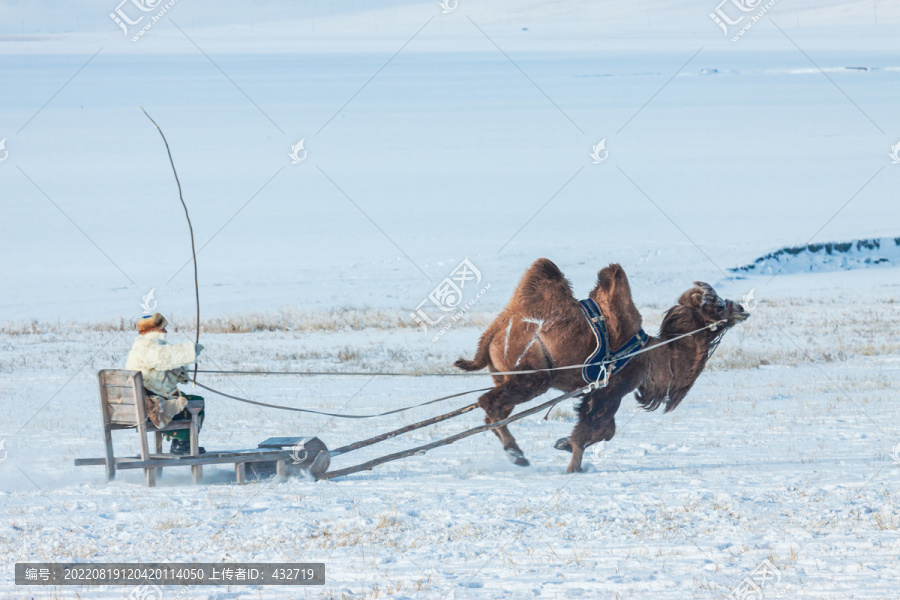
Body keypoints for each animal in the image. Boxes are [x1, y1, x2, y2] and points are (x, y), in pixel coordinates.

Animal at [454, 258, 748, 474]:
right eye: (718, 305)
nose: (742, 308)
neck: (651, 355)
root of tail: (496, 329)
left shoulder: (598, 392)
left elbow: (604, 430)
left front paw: (562, 444)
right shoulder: (611, 390)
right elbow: (594, 428)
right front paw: (574, 466)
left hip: (505, 375)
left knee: (494, 409)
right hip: (533, 376)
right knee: (489, 403)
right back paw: (517, 454)